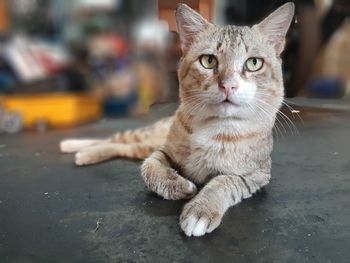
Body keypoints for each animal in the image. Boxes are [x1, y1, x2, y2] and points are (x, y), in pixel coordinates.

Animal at [60, 2, 296, 237]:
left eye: (254, 63)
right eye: (208, 60)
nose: (228, 85)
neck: (215, 126)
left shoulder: (256, 175)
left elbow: (224, 182)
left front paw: (201, 209)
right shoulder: (163, 151)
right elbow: (149, 168)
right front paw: (180, 186)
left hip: (143, 145)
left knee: (123, 147)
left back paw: (84, 153)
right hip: (148, 137)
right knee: (116, 140)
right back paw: (74, 146)